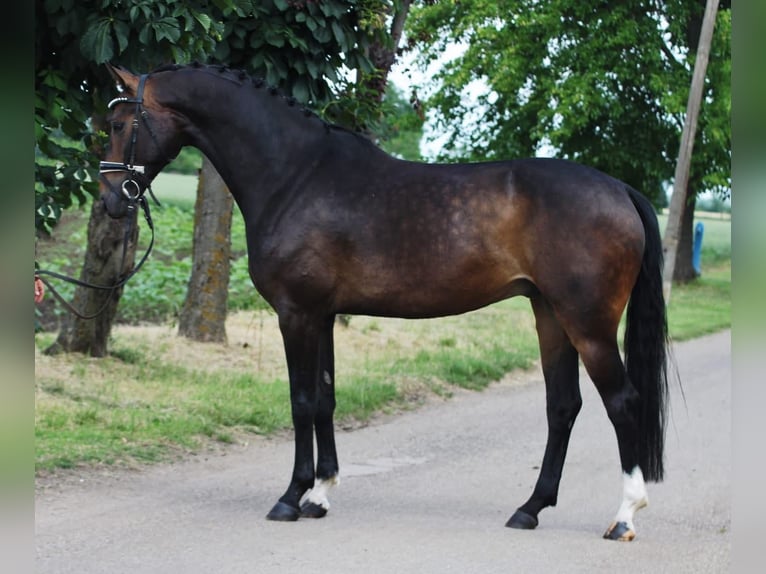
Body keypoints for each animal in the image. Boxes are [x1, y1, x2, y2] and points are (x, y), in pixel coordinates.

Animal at [98, 63, 669, 541]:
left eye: (121, 123)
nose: (109, 201)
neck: (295, 176)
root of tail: (619, 188)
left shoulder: (296, 314)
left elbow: (301, 400)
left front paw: (290, 497)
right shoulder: (323, 315)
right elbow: (325, 399)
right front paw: (320, 495)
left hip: (587, 324)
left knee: (622, 403)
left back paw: (624, 517)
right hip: (550, 315)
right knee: (563, 406)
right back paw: (529, 509)